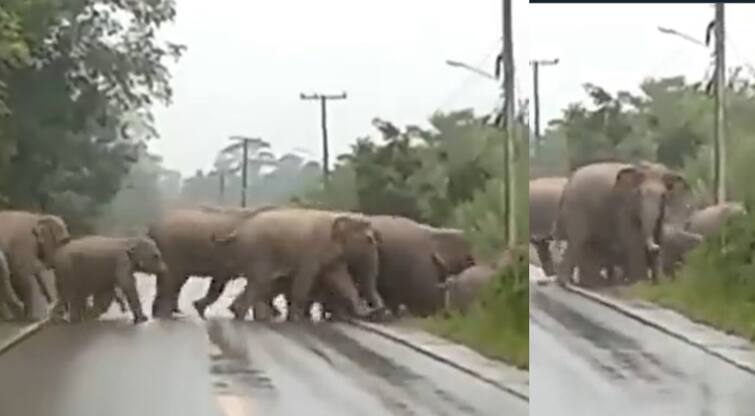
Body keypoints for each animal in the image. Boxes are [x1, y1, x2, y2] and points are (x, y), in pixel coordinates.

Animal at [214, 208, 384, 322]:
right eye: (369, 239)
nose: (376, 310)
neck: (335, 215)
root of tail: (237, 231)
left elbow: (342, 279)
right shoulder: (311, 252)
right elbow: (304, 280)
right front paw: (295, 319)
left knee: (258, 284)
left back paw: (237, 312)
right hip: (258, 253)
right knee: (259, 283)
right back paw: (241, 316)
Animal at [556, 162, 692, 286]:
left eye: (663, 196)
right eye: (639, 193)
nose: (655, 248)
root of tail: (568, 183)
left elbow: (659, 234)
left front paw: (659, 283)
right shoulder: (624, 207)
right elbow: (633, 240)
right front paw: (640, 284)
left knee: (590, 245)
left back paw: (594, 284)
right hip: (576, 208)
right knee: (577, 240)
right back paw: (566, 283)